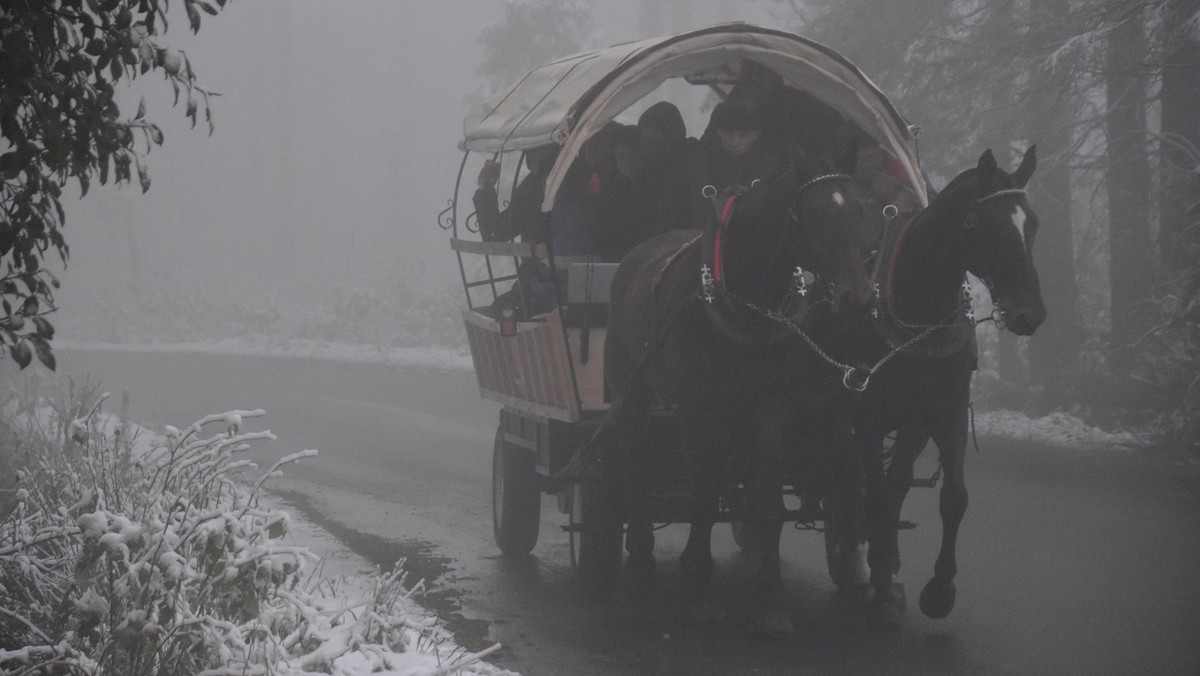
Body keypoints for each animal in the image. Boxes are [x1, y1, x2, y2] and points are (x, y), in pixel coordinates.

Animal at [609, 141, 873, 633]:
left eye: (859, 211)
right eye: (812, 215)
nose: (861, 299)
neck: (745, 296)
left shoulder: (772, 406)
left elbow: (767, 500)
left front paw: (772, 600)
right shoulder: (698, 408)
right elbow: (703, 494)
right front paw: (698, 587)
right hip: (631, 389)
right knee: (635, 463)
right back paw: (640, 549)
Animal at [854, 147, 1041, 624]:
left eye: (1032, 223)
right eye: (987, 224)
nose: (1030, 314)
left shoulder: (943, 411)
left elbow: (952, 496)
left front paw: (938, 587)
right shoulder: (867, 416)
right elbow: (876, 492)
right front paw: (881, 582)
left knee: (899, 479)